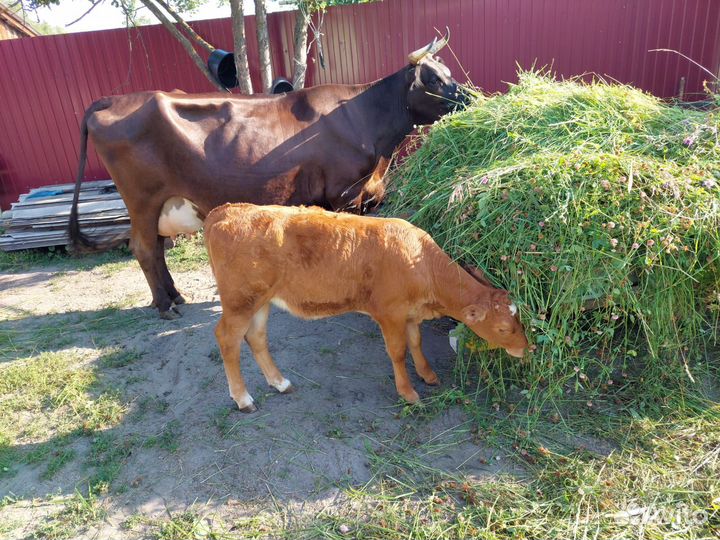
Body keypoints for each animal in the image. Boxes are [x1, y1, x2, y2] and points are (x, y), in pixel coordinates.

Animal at [69, 34, 466, 320]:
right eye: (433, 78)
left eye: (448, 71)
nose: (467, 98)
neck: (366, 121)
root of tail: (113, 99)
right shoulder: (345, 194)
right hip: (142, 198)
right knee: (144, 248)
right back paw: (166, 307)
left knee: (155, 247)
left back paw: (174, 296)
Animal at [202, 205, 528, 412]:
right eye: (502, 328)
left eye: (519, 319)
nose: (527, 348)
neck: (422, 264)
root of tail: (225, 210)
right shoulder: (389, 313)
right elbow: (398, 352)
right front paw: (408, 392)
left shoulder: (410, 313)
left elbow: (416, 342)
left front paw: (428, 375)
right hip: (239, 300)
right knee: (227, 339)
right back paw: (243, 399)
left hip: (261, 300)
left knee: (256, 337)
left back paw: (280, 383)